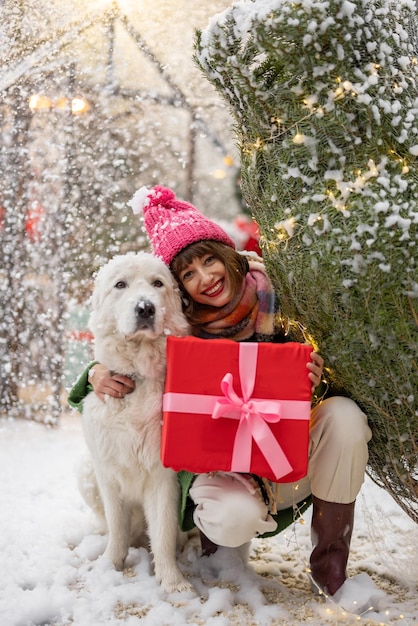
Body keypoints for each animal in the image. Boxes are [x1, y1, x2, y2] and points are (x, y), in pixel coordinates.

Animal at [79, 251, 193, 592]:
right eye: (121, 285)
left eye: (157, 283)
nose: (145, 308)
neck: (138, 378)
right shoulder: (107, 474)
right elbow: (117, 528)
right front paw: (110, 565)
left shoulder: (163, 478)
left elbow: (164, 533)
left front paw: (172, 581)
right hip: (85, 469)